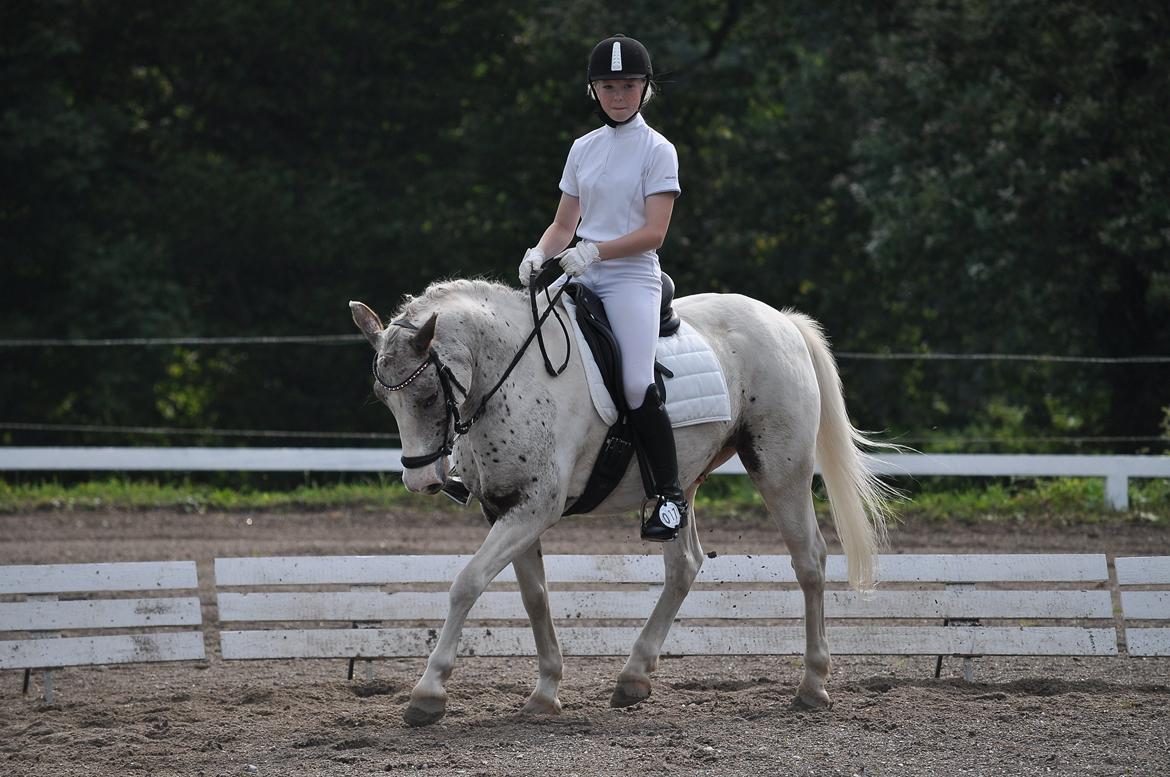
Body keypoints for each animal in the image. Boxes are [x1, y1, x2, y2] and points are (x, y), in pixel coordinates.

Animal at [350, 277, 891, 727]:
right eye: (383, 397)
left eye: (426, 396)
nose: (421, 481)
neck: (510, 379)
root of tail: (781, 320)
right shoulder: (509, 509)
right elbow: (534, 596)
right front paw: (545, 693)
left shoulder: (535, 508)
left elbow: (466, 583)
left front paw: (428, 692)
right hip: (682, 482)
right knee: (684, 565)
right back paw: (634, 677)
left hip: (779, 470)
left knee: (809, 560)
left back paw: (812, 685)